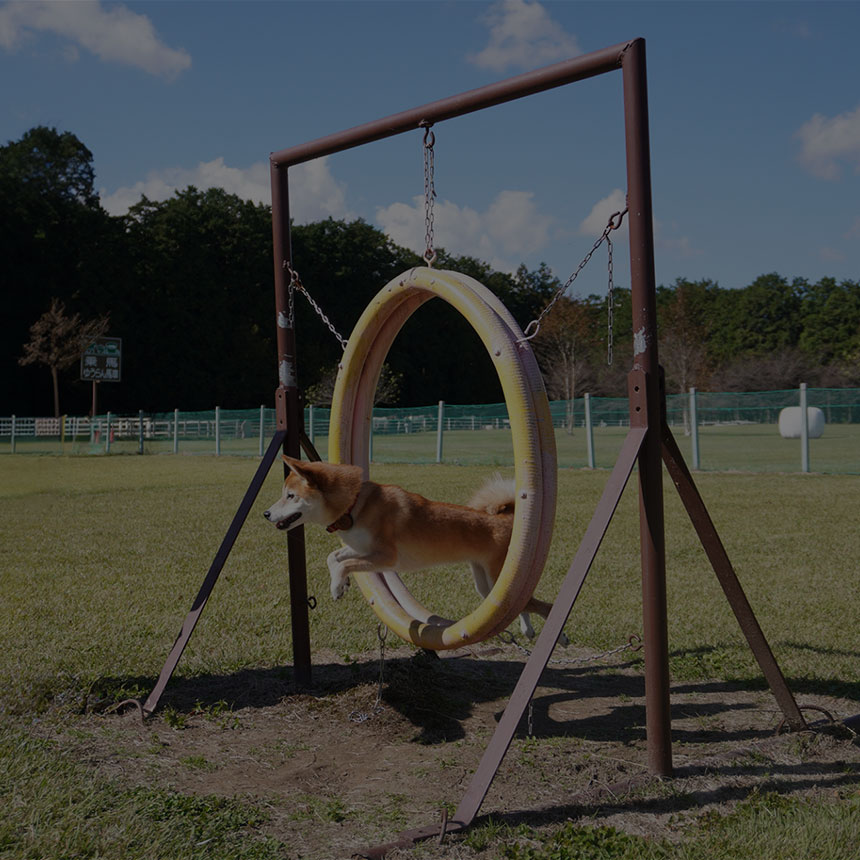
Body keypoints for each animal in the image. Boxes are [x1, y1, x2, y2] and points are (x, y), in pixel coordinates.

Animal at [262, 454, 560, 640]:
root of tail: (507, 517)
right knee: (518, 605)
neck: (354, 507)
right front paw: (341, 583)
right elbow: (334, 557)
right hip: (487, 586)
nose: (266, 513)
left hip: (497, 578)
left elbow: (345, 563)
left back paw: (560, 635)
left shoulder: (386, 557)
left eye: (290, 496)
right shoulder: (362, 549)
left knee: (539, 604)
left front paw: (337, 588)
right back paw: (528, 630)